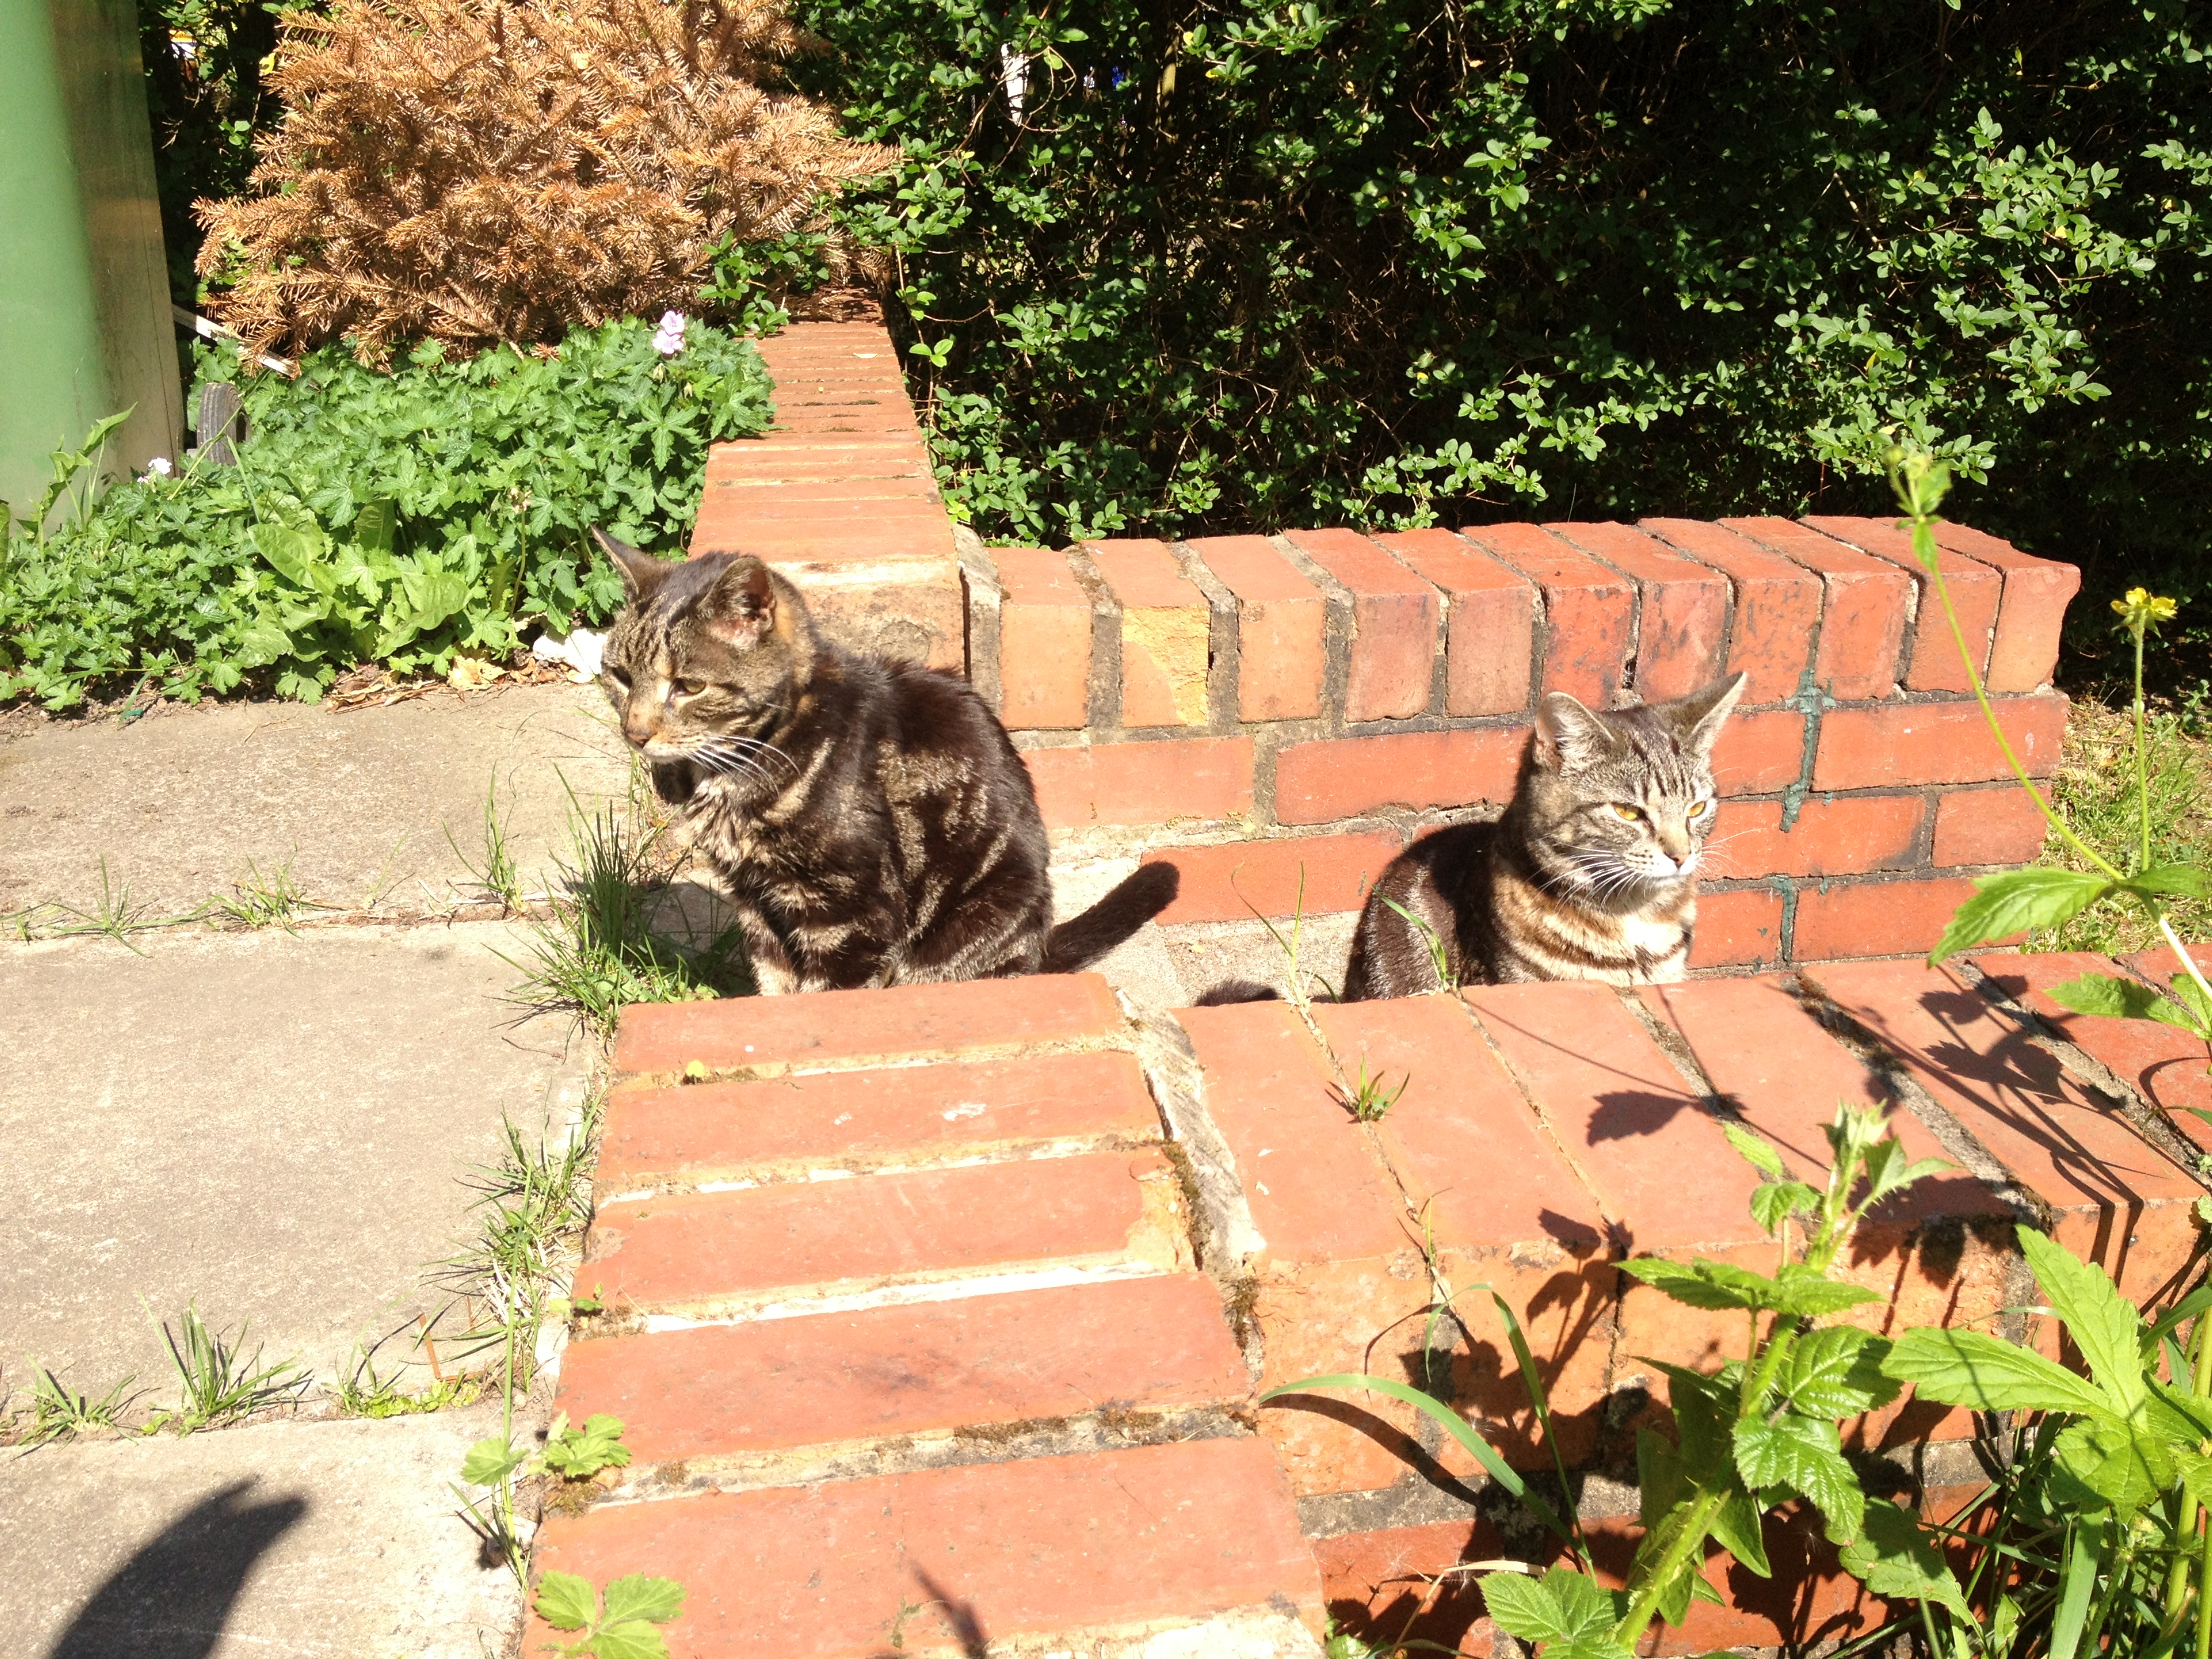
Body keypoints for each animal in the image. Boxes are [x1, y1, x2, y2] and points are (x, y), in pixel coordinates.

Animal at [591, 530, 1176, 993]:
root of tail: (1040, 947)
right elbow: (776, 987)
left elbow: (828, 993)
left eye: (689, 687)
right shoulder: (756, 902)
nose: (635, 732)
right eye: (620, 675)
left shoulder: (850, 914)